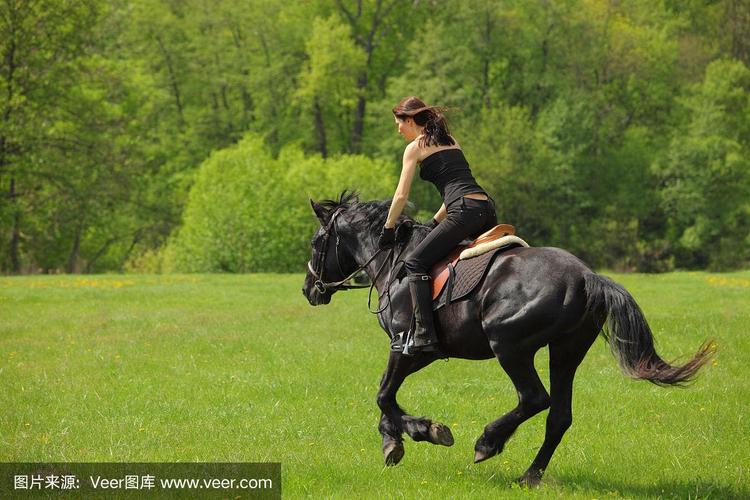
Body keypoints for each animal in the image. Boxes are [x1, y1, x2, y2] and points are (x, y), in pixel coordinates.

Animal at [302, 190, 712, 484]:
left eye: (316, 242)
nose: (309, 290)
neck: (394, 261)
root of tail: (587, 277)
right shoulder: (422, 353)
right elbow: (386, 396)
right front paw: (395, 439)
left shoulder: (405, 346)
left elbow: (384, 395)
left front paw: (425, 431)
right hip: (566, 351)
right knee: (559, 415)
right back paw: (529, 476)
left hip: (509, 346)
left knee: (534, 398)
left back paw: (488, 442)